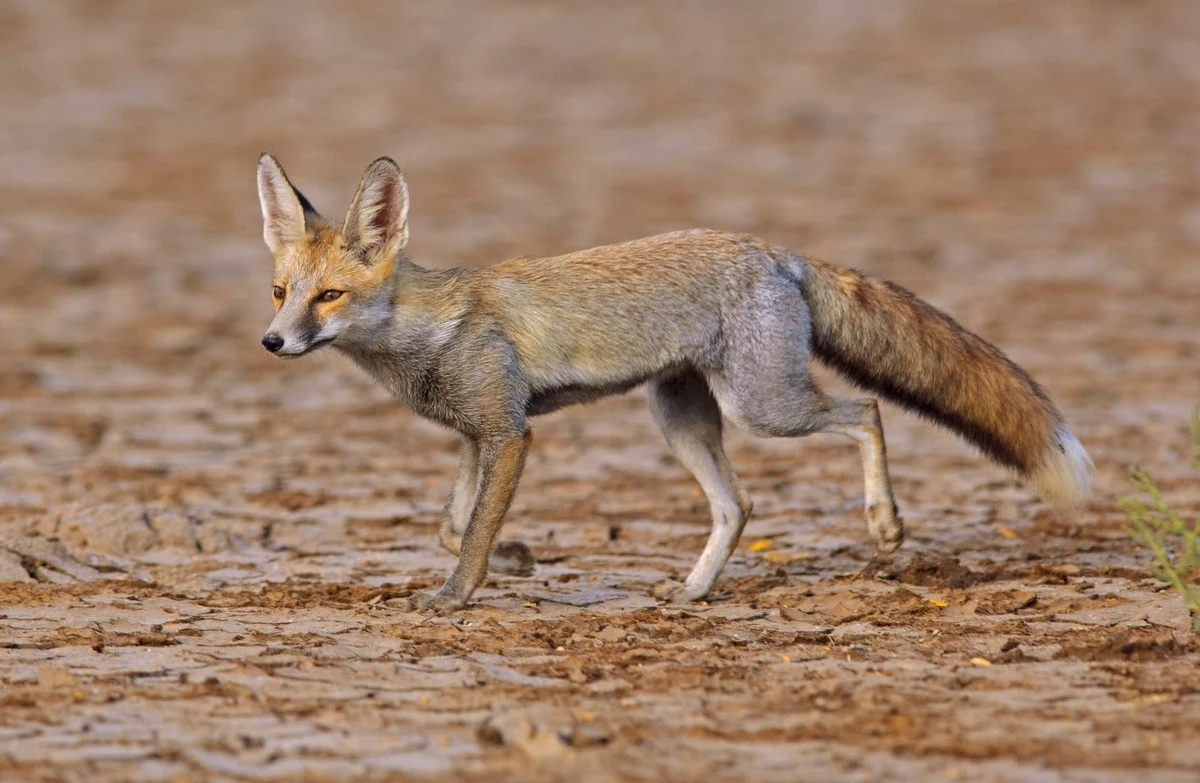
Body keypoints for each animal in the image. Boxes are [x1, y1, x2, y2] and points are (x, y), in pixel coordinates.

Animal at [255, 153, 1093, 611]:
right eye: (280, 291)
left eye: (329, 297)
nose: (272, 341)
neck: (427, 330)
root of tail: (772, 249)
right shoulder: (475, 434)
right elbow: (450, 525)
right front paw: (519, 557)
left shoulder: (511, 432)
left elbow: (470, 537)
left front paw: (460, 594)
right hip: (681, 418)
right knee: (740, 503)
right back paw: (694, 591)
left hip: (764, 406)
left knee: (865, 410)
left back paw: (885, 523)